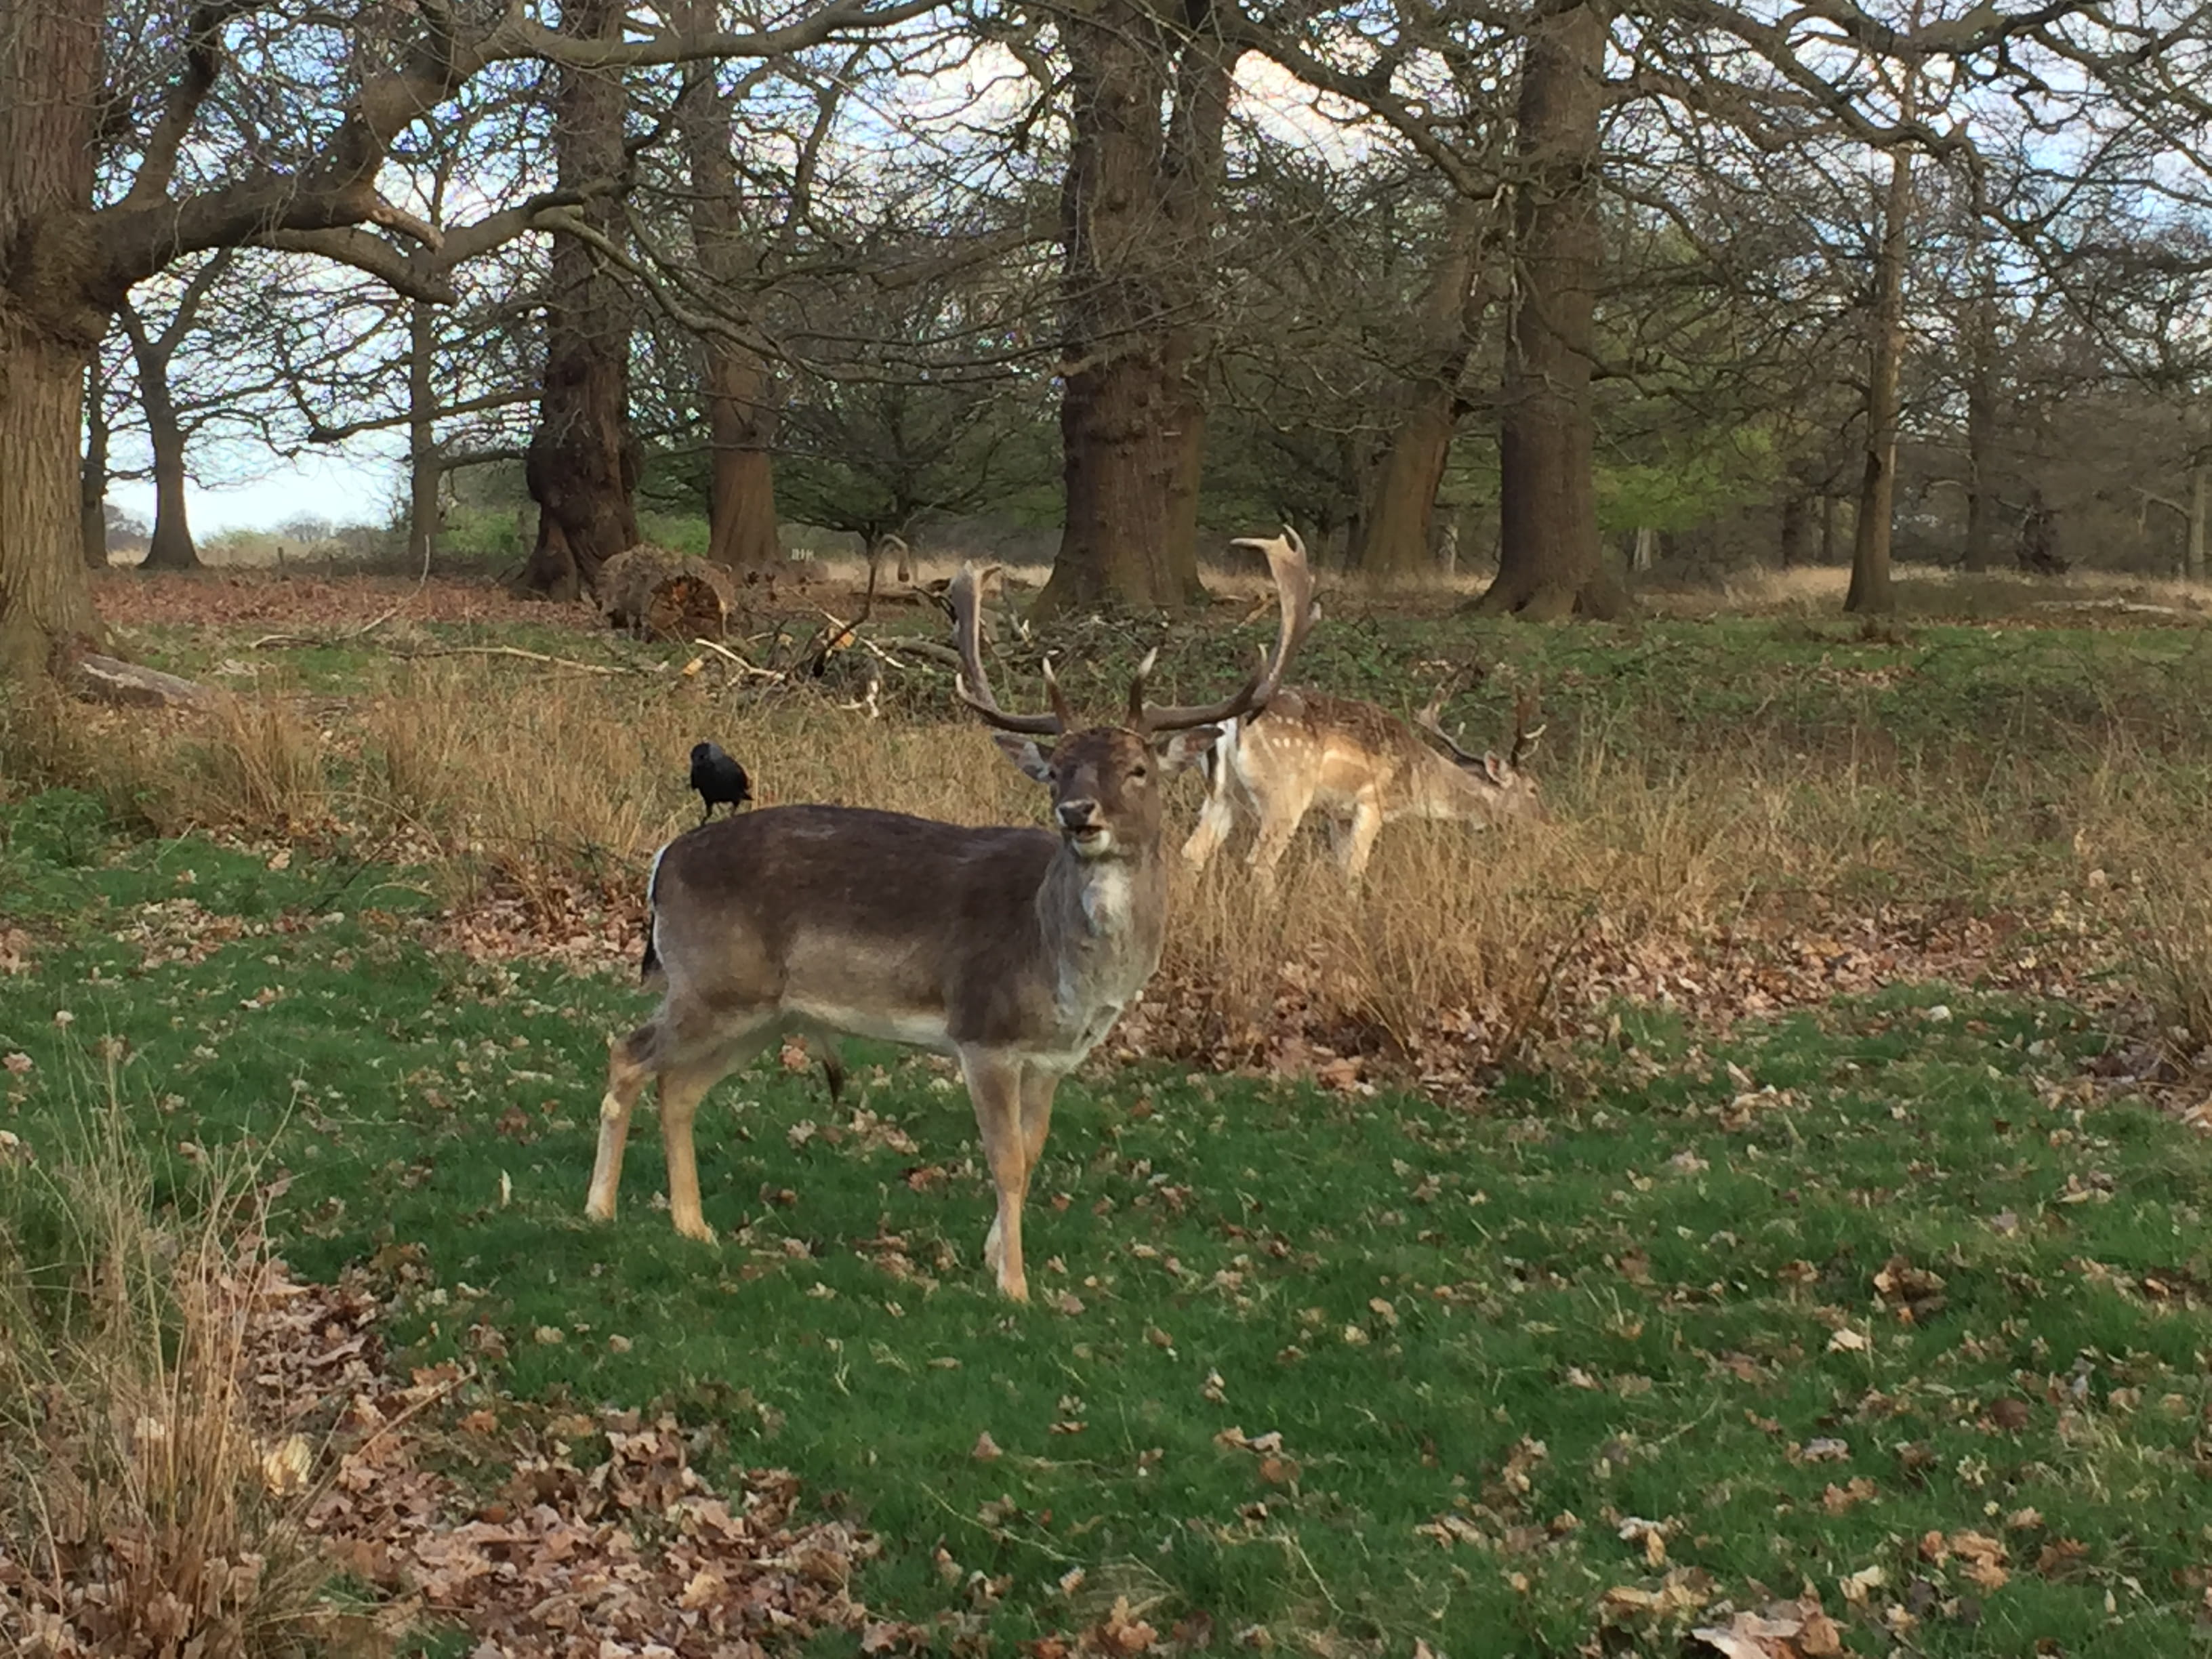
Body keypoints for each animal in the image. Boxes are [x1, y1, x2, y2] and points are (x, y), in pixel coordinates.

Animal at [586, 531, 1318, 1301]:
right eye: (1057, 769)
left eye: (1138, 770)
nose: (1077, 813)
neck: (1066, 970)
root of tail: (663, 862)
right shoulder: (983, 1032)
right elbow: (1006, 1161)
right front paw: (1015, 1287)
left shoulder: (1055, 1058)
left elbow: (1032, 1152)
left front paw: (996, 1256)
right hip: (711, 981)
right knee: (628, 1054)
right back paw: (601, 1209)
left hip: (764, 1010)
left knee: (679, 1088)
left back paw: (693, 1227)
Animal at [1180, 676, 1545, 887]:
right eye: (1533, 788)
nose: (1543, 820)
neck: (1419, 780)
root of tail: (1230, 724)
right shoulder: (1373, 803)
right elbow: (1356, 869)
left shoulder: (1337, 813)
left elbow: (1341, 864)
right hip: (1285, 792)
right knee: (1260, 862)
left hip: (1224, 793)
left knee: (1193, 852)